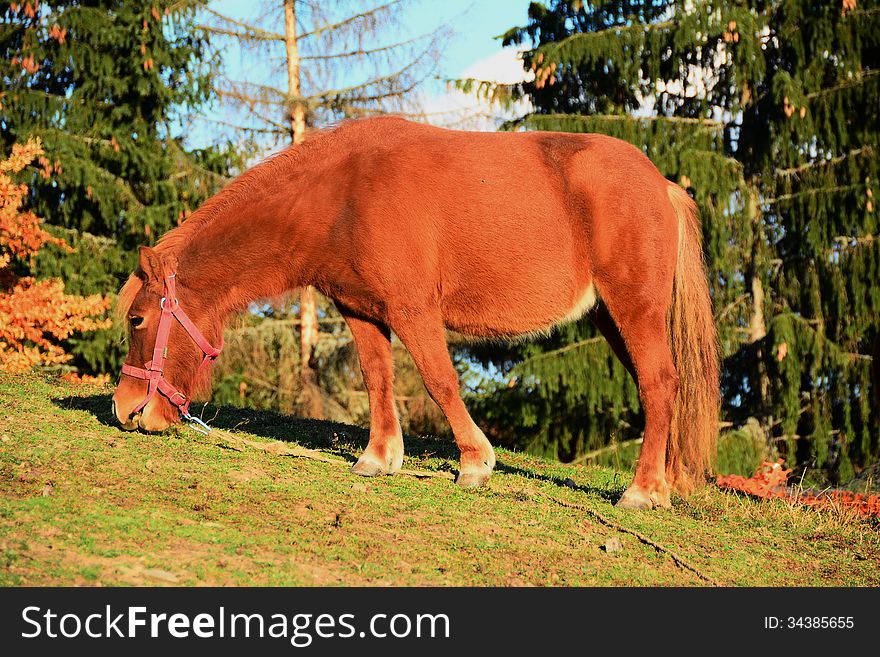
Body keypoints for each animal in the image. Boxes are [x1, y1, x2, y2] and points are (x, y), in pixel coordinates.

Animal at [113, 115, 720, 510]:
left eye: (137, 320)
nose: (125, 410)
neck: (345, 191)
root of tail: (662, 185)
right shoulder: (362, 312)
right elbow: (378, 379)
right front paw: (379, 457)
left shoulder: (413, 310)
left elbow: (439, 380)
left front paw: (475, 462)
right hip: (612, 318)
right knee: (660, 387)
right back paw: (664, 483)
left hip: (634, 308)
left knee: (660, 383)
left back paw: (641, 492)